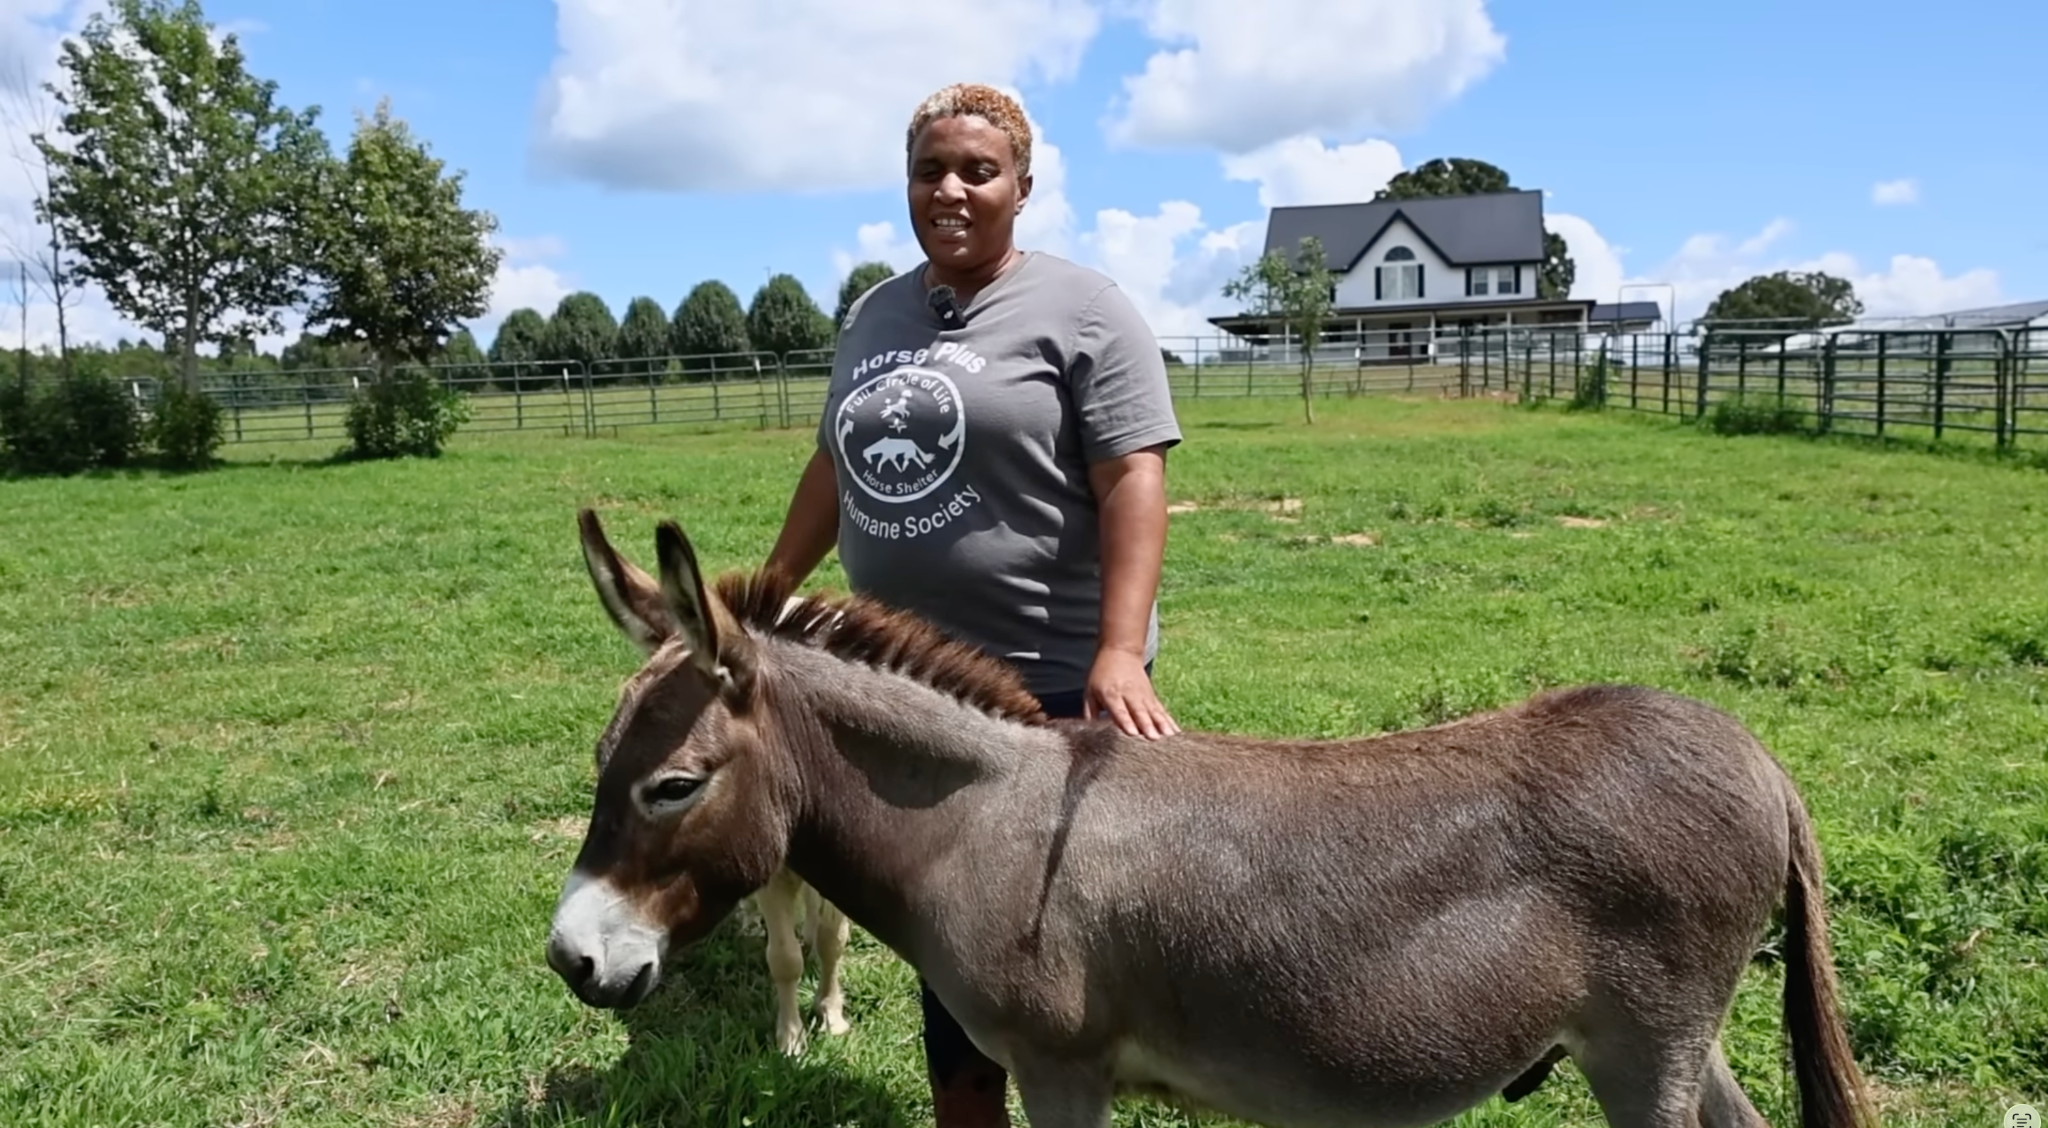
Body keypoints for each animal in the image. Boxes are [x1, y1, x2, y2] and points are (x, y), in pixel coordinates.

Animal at [545, 510, 1878, 1128]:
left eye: (671, 786)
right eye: (600, 765)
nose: (569, 961)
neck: (987, 825)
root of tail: (1759, 759)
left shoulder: (1059, 1066)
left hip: (1644, 1044)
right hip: (1669, 1038)